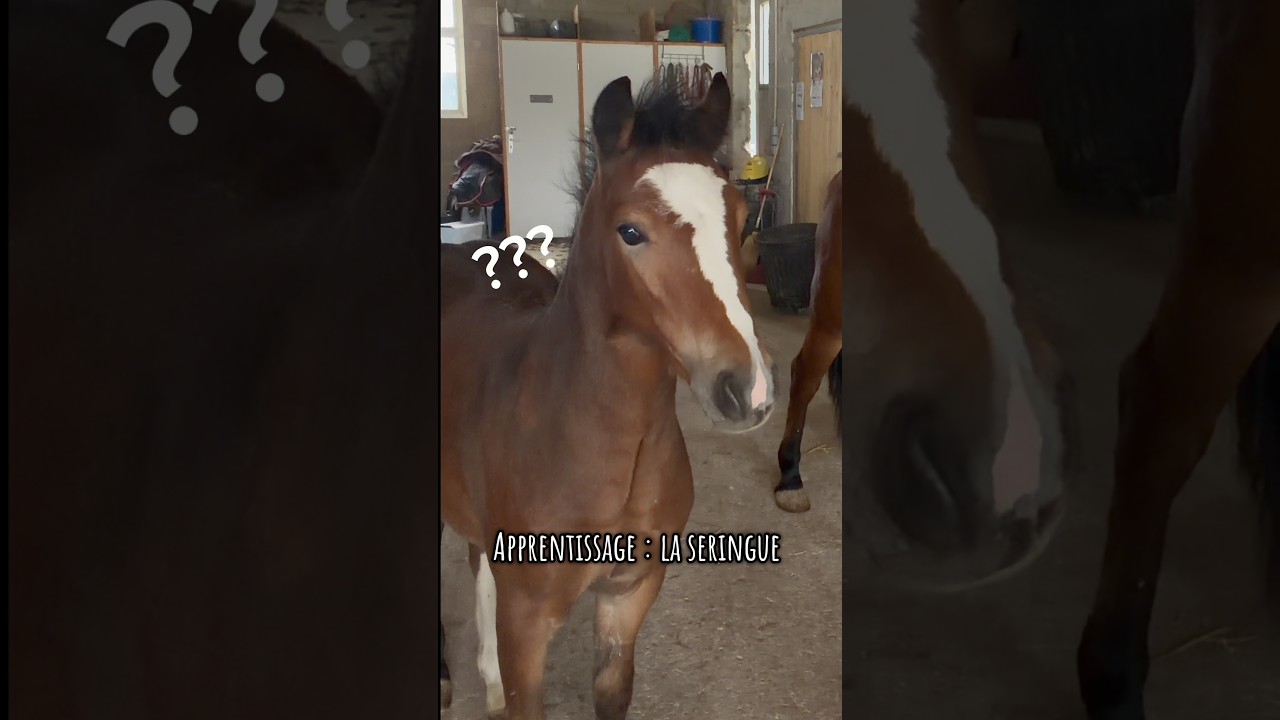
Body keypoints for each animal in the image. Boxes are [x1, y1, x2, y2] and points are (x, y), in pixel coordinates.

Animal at [438, 74, 778, 720]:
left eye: (744, 217)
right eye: (631, 231)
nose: (748, 388)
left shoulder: (631, 591)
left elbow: (612, 689)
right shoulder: (526, 621)